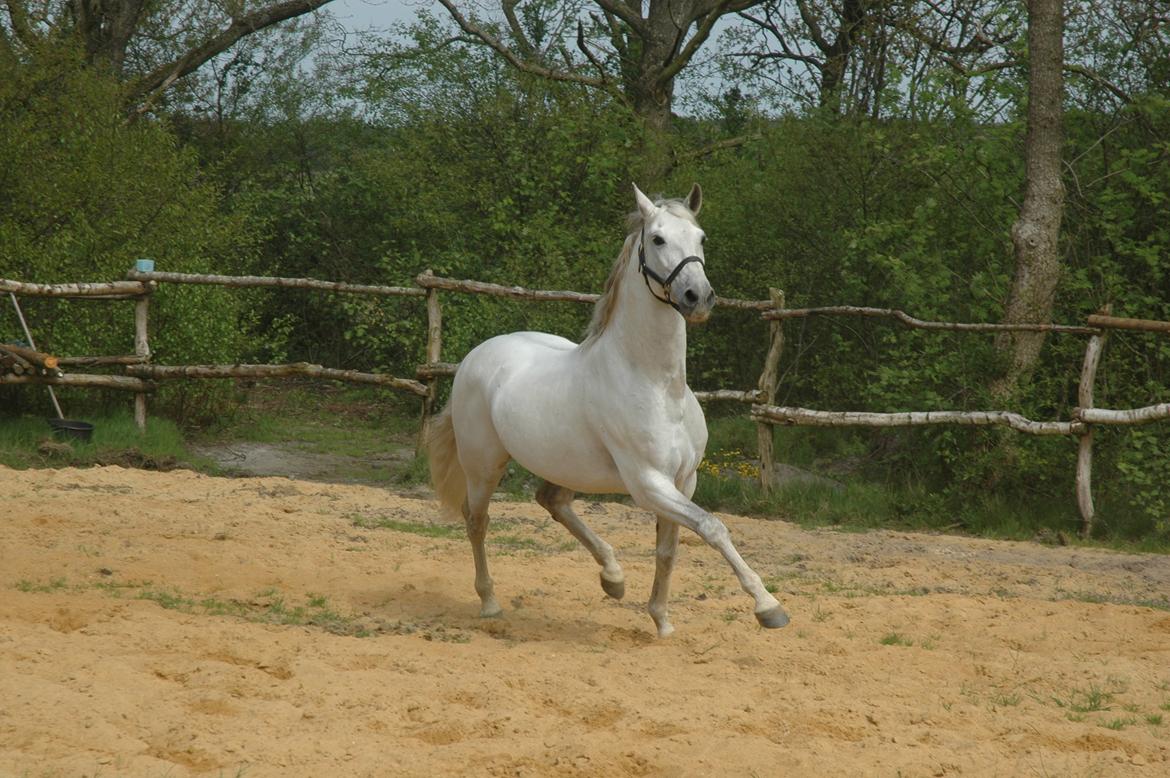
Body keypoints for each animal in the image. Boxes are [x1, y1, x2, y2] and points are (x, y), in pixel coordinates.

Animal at [425, 184, 790, 636]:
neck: (657, 386)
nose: (698, 298)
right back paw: (491, 603)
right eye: (657, 239)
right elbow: (712, 526)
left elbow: (668, 550)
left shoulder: (684, 480)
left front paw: (662, 621)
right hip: (483, 465)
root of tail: (476, 356)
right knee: (477, 520)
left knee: (552, 501)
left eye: (701, 237)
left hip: (562, 465)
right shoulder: (648, 483)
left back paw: (612, 577)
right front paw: (768, 606)